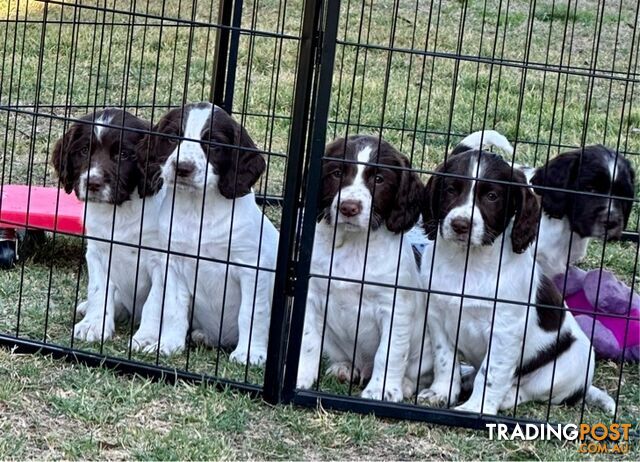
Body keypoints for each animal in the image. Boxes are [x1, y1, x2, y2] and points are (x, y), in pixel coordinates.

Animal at [51, 110, 166, 344]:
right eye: (84, 151)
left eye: (123, 155)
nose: (93, 183)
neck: (119, 211)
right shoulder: (98, 251)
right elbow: (99, 290)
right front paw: (93, 325)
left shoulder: (162, 261)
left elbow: (155, 301)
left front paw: (148, 337)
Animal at [134, 102, 276, 364]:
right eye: (172, 137)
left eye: (214, 144)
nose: (183, 168)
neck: (197, 210)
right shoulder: (173, 264)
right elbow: (173, 309)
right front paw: (167, 345)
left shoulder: (252, 268)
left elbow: (252, 314)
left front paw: (249, 353)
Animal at [298, 135, 432, 402]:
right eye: (337, 173)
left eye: (379, 179)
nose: (349, 207)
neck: (354, 244)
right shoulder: (311, 296)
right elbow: (307, 341)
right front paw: (301, 378)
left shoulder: (394, 308)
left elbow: (388, 354)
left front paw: (381, 391)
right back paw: (343, 368)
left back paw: (406, 385)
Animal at [420, 149, 616, 416]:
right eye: (450, 189)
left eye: (492, 196)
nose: (460, 225)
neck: (468, 264)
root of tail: (584, 387)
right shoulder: (438, 317)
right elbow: (445, 360)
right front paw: (441, 393)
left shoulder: (504, 331)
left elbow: (491, 374)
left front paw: (475, 408)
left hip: (564, 367)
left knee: (529, 390)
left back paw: (505, 397)